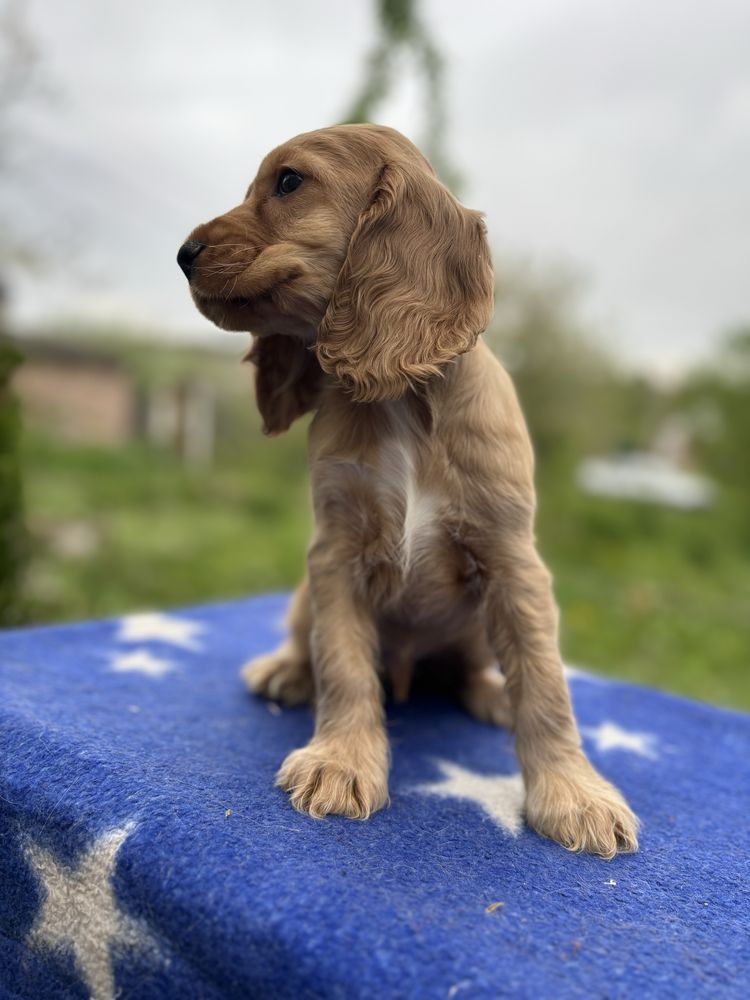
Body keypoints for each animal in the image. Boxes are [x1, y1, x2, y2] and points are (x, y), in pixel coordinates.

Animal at [181, 125, 640, 860]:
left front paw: (574, 796)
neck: (401, 400)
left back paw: (490, 692)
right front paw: (340, 762)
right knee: (307, 642)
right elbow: (342, 663)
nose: (183, 255)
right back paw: (286, 671)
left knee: (477, 668)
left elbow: (546, 684)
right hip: (303, 596)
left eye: (289, 182)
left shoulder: (513, 561)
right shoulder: (334, 554)